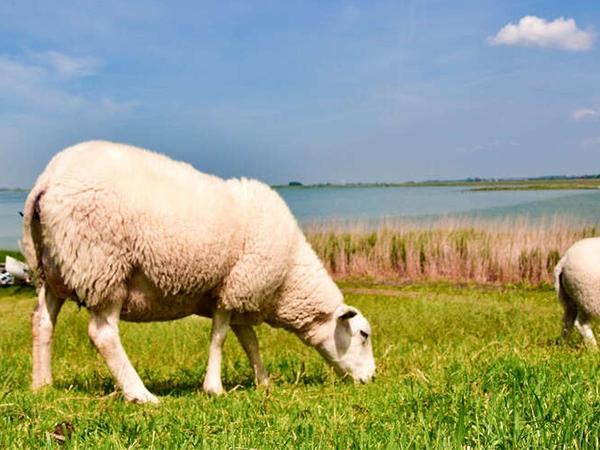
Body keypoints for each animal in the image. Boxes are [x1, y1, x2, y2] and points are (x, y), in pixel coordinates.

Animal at [23, 141, 376, 404]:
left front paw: (263, 381)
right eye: (363, 335)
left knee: (42, 322)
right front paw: (214, 388)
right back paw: (140, 394)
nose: (372, 378)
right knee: (103, 334)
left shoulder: (241, 297)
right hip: (103, 265)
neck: (289, 279)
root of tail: (47, 181)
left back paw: (42, 384)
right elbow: (219, 337)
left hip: (54, 269)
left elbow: (250, 342)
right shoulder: (234, 288)